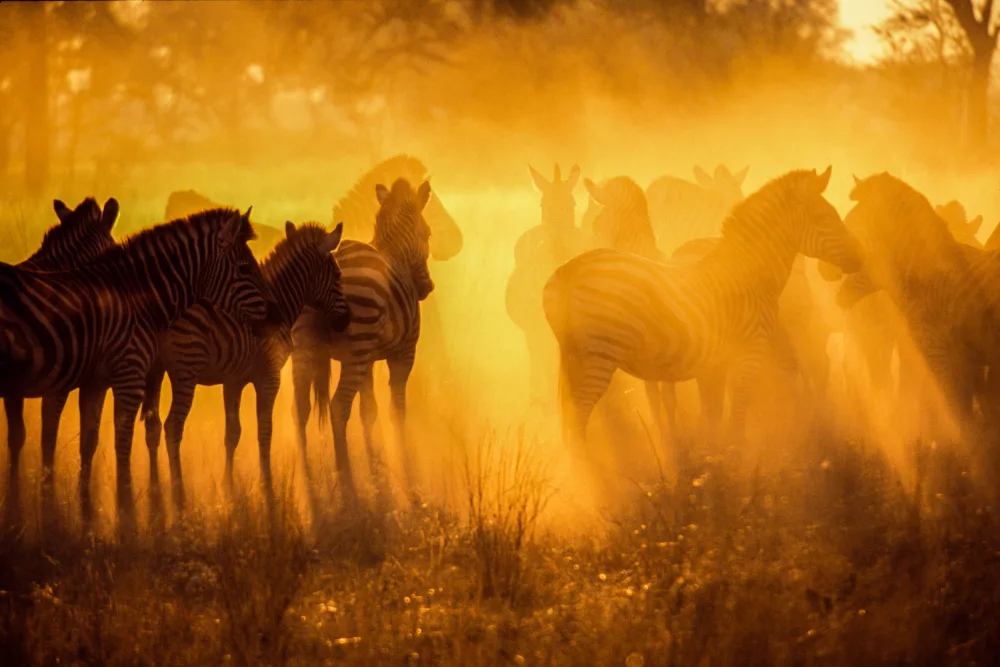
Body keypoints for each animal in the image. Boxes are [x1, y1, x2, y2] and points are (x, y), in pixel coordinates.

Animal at [139, 221, 350, 510]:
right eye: (338, 276)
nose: (346, 320)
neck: (281, 302)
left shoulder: (233, 380)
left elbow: (233, 434)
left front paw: (229, 490)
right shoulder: (270, 376)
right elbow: (265, 431)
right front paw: (269, 489)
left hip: (156, 370)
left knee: (152, 425)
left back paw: (155, 494)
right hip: (186, 369)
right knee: (173, 425)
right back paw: (178, 497)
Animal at [292, 178, 434, 501]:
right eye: (428, 233)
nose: (426, 288)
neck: (396, 251)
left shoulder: (368, 359)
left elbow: (368, 411)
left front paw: (377, 473)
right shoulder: (404, 353)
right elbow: (397, 410)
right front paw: (406, 471)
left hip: (303, 350)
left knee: (301, 410)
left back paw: (309, 484)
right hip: (354, 351)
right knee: (337, 407)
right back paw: (347, 484)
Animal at [543, 167, 863, 448]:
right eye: (823, 217)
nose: (859, 259)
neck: (748, 275)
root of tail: (564, 272)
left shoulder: (714, 366)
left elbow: (712, 416)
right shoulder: (746, 356)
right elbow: (735, 416)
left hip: (575, 360)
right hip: (595, 358)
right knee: (578, 424)